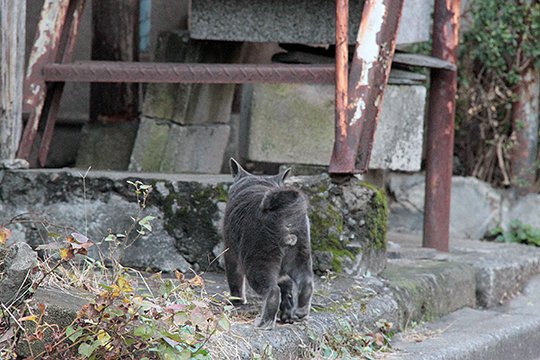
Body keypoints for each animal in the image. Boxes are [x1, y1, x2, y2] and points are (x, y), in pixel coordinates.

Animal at [223, 160, 314, 330]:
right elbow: (287, 286)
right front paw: (287, 313)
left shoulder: (230, 251)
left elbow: (235, 279)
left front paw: (236, 301)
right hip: (301, 255)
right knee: (306, 284)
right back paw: (300, 313)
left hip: (257, 259)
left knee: (272, 292)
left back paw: (263, 323)